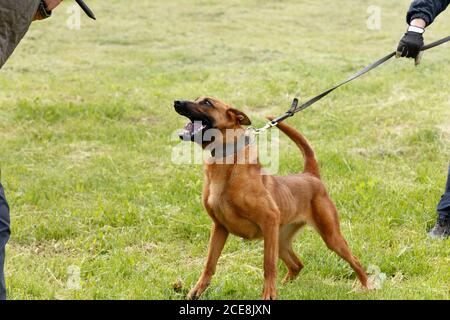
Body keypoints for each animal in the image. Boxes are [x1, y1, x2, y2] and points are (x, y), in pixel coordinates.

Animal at [172, 96, 370, 298]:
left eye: (207, 103)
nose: (177, 102)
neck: (226, 164)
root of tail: (310, 175)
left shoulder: (269, 220)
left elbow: (268, 265)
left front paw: (268, 294)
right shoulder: (219, 227)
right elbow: (209, 264)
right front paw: (196, 291)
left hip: (328, 236)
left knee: (354, 260)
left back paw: (366, 287)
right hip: (280, 240)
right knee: (297, 264)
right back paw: (284, 286)